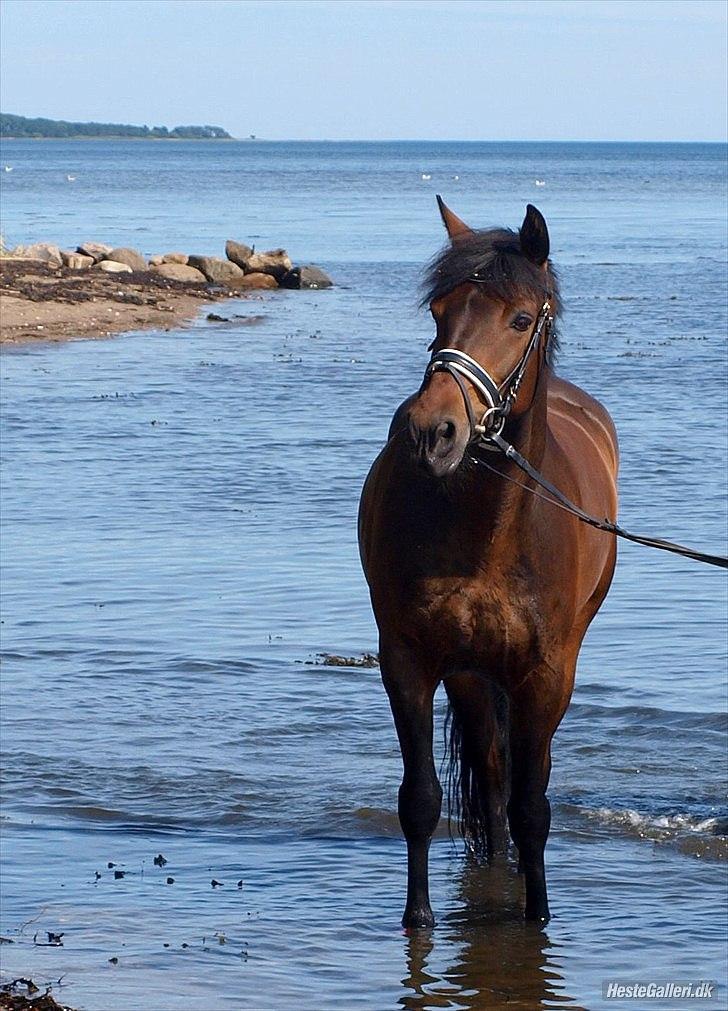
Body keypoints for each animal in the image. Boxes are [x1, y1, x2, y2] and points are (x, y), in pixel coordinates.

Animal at [358, 200, 619, 928]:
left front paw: (537, 917)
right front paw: (418, 920)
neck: (489, 531)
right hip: (473, 673)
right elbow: (421, 799)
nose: (431, 431)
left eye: (522, 319)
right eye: (438, 310)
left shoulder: (546, 676)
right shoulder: (411, 661)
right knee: (494, 774)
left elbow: (534, 808)